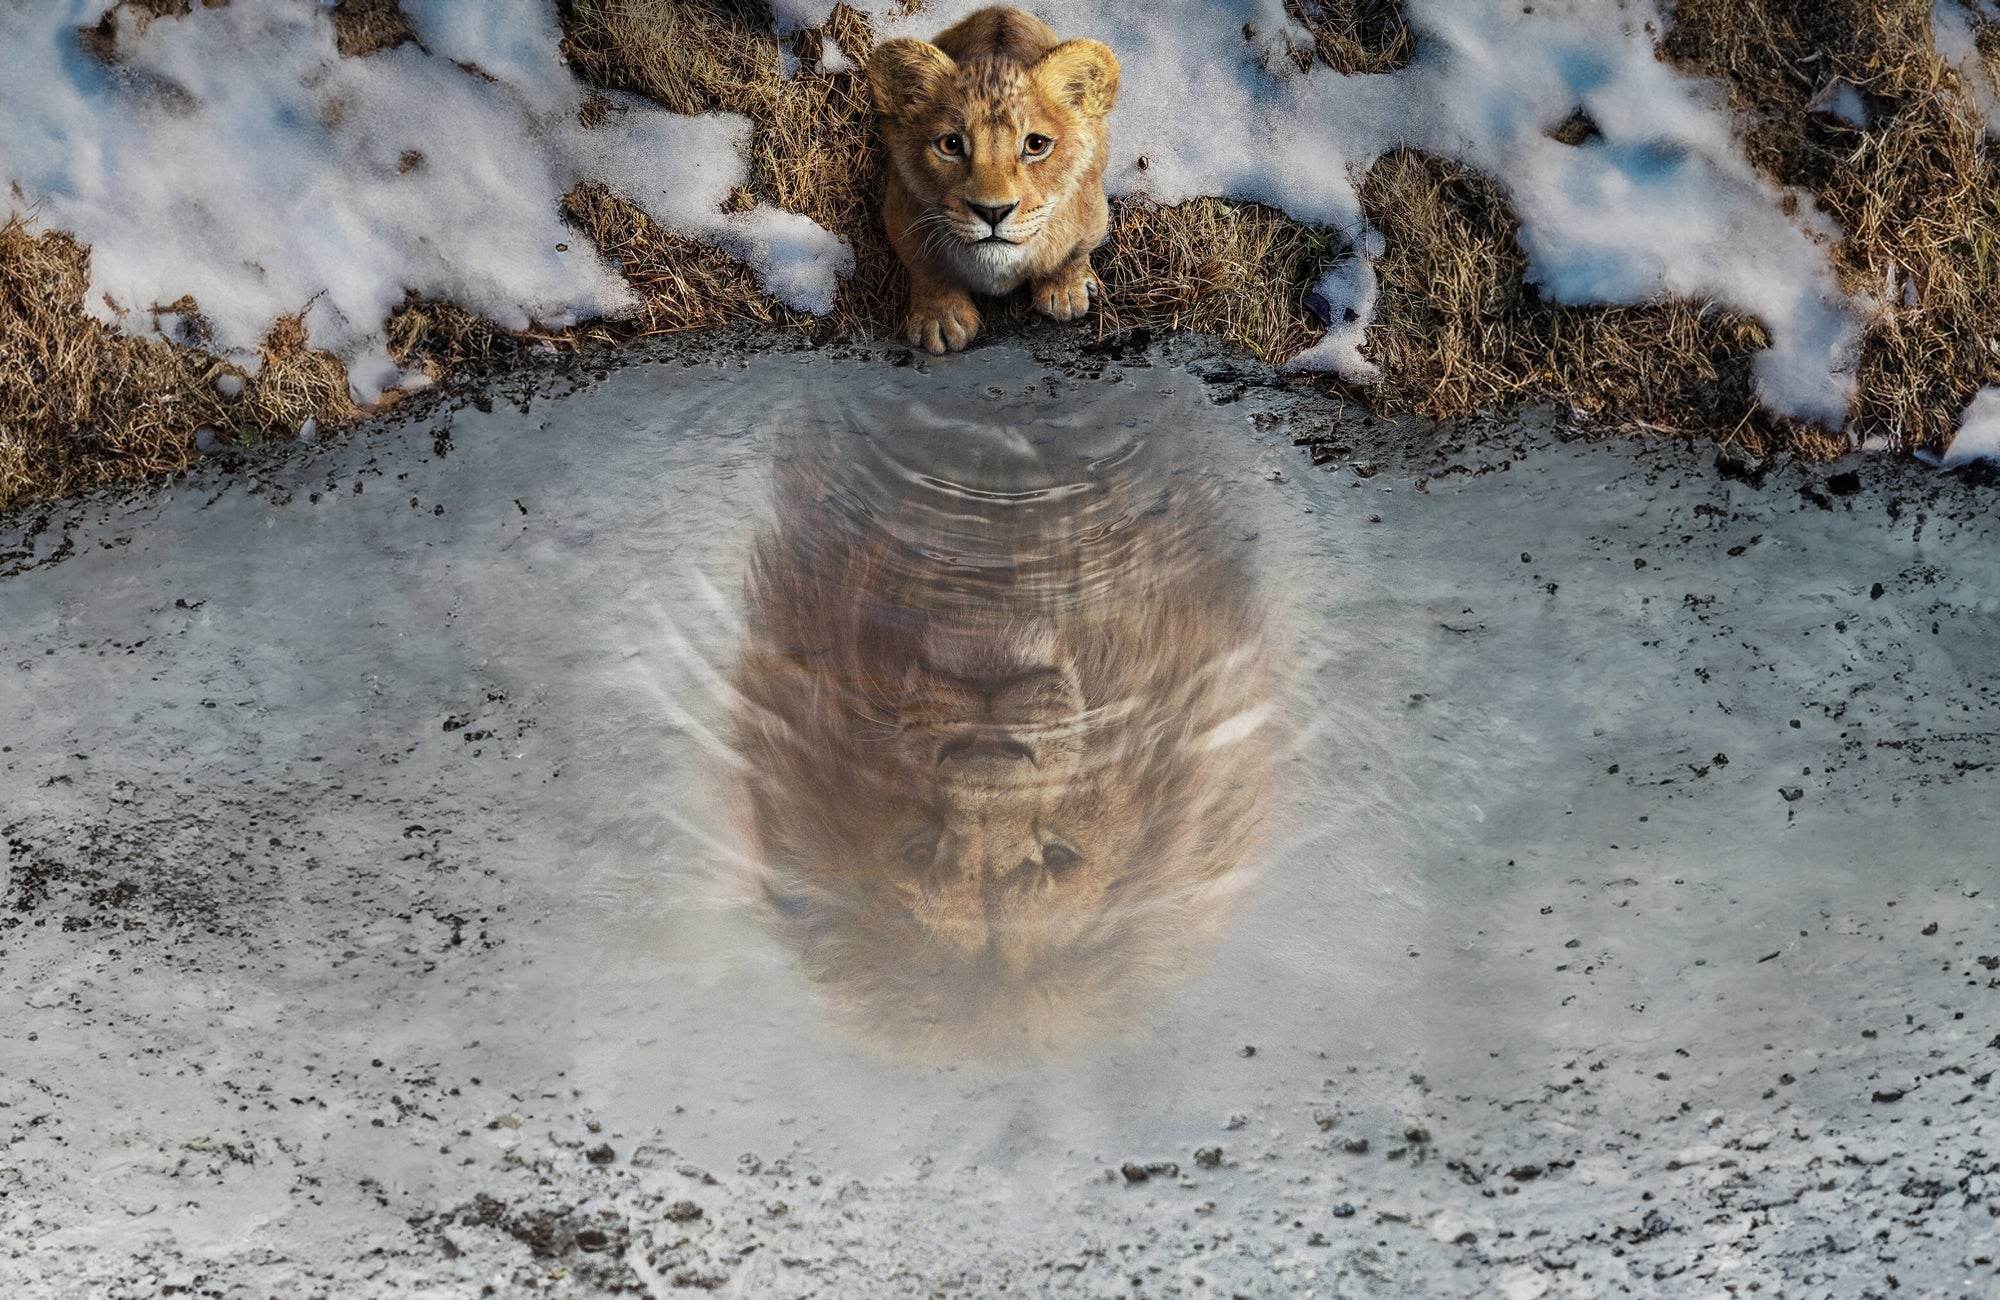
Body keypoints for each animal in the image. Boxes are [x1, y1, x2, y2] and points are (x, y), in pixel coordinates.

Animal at [866, 6, 1120, 354]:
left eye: (1036, 144)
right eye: (950, 145)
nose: (993, 212)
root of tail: (1002, 9)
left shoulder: (1092, 211)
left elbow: (1073, 253)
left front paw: (1065, 291)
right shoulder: (900, 211)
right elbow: (926, 267)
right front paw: (940, 319)